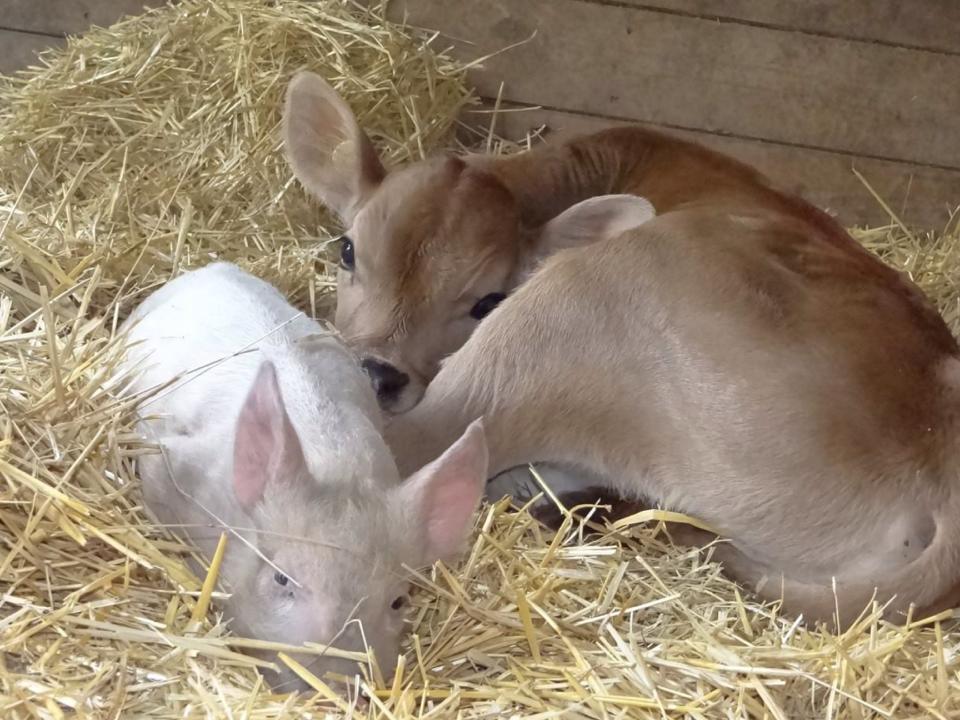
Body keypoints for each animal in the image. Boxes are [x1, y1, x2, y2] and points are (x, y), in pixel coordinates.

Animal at [118, 261, 487, 692]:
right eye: (281, 580)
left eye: (398, 601)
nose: (335, 686)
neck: (337, 466)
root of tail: (215, 266)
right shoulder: (166, 459)